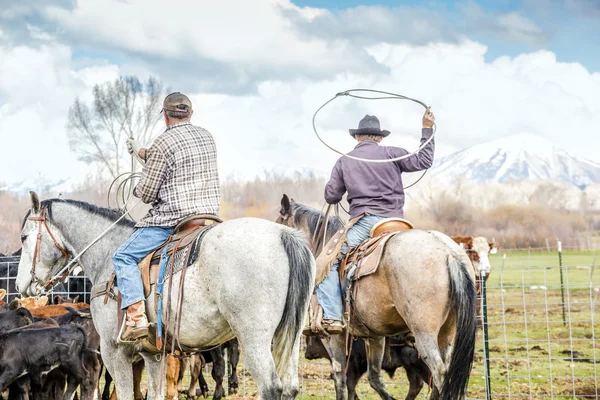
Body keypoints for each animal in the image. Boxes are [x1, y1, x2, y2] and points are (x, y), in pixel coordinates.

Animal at [15, 192, 314, 398]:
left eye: (24, 237)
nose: (21, 284)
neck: (107, 254)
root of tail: (284, 235)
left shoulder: (114, 351)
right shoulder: (153, 355)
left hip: (254, 338)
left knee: (272, 387)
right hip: (289, 335)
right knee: (290, 387)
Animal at [304, 334, 432, 400]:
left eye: (308, 340)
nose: (306, 354)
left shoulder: (353, 367)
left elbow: (349, 385)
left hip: (415, 364)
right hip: (410, 368)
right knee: (416, 385)